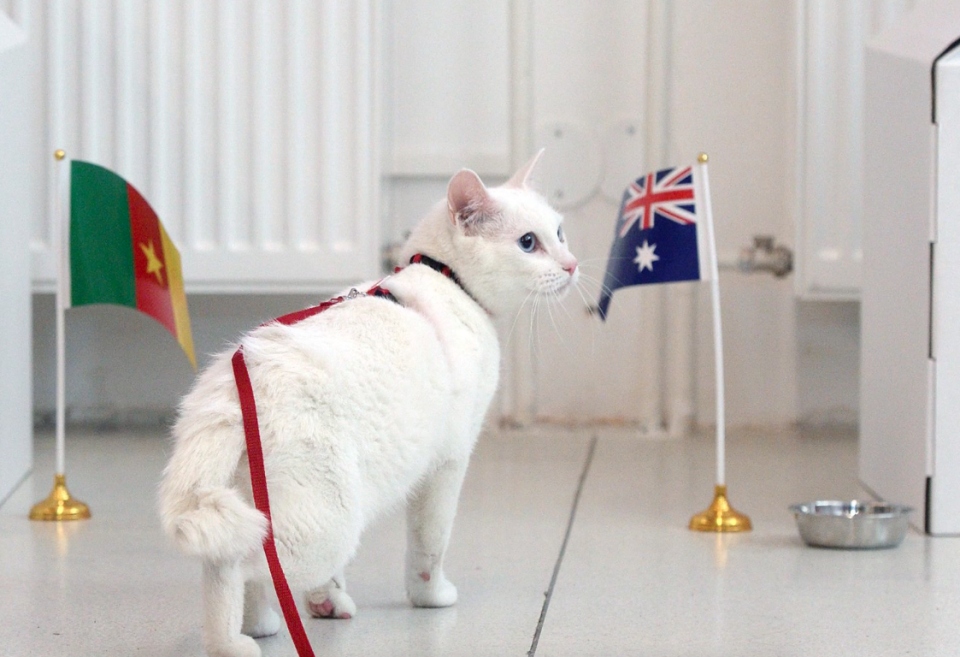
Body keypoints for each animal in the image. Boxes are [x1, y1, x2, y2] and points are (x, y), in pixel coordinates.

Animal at [158, 150, 576, 656]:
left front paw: (326, 599)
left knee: (247, 563)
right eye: (528, 243)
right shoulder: (448, 463)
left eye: (559, 232)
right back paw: (231, 641)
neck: (449, 283)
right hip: (326, 521)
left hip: (269, 505)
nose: (572, 265)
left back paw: (259, 624)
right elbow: (430, 545)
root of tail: (228, 389)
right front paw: (430, 597)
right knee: (234, 565)